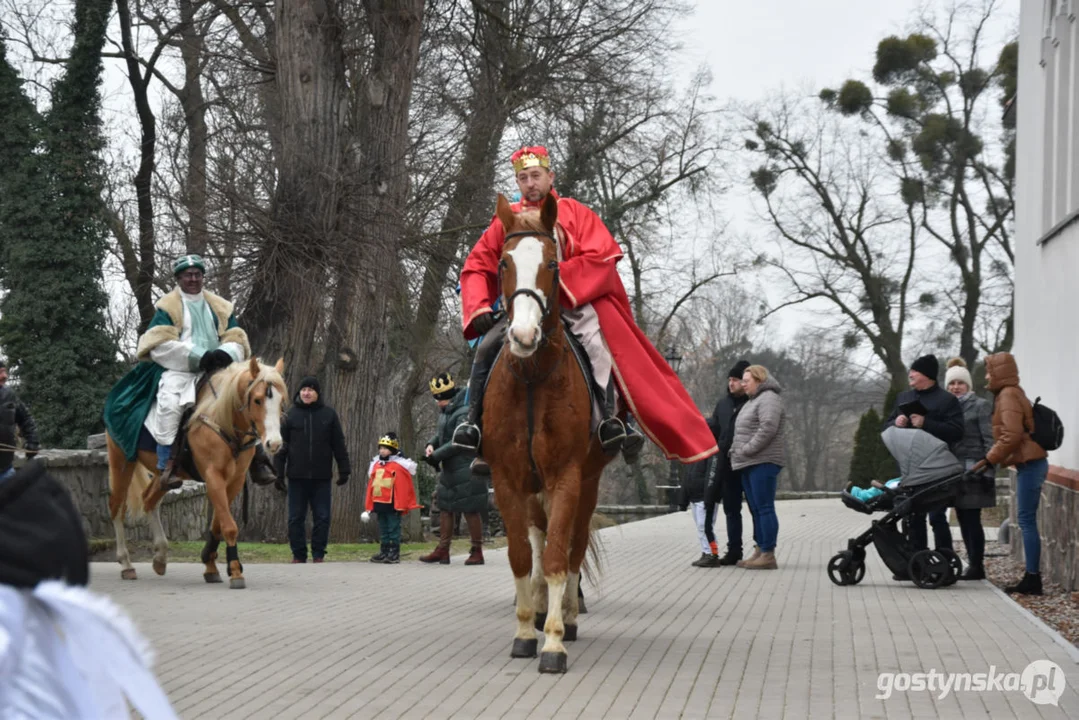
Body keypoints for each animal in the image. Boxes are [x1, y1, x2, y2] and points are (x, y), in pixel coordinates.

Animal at [101, 358, 284, 587]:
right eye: (258, 400)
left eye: (281, 401)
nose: (274, 444)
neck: (222, 419)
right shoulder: (213, 477)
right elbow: (229, 526)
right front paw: (235, 571)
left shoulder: (234, 481)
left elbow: (218, 524)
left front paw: (211, 565)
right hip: (122, 460)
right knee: (116, 507)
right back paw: (126, 564)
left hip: (162, 475)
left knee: (149, 500)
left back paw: (160, 557)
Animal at [483, 193, 617, 677]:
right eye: (503, 262)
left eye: (553, 263)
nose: (523, 334)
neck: (532, 377)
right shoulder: (507, 479)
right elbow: (524, 556)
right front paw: (526, 632)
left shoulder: (566, 477)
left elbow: (560, 555)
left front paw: (555, 642)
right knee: (539, 545)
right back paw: (541, 609)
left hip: (588, 483)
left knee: (573, 547)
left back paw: (568, 619)